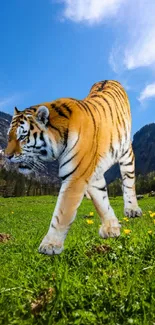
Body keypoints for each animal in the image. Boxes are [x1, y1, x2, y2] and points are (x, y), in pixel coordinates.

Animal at [5, 79, 142, 254]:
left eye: (22, 137)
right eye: (9, 136)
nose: (6, 156)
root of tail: (109, 79)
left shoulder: (76, 176)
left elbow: (62, 212)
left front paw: (50, 245)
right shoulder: (91, 174)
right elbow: (101, 200)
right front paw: (111, 228)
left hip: (125, 151)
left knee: (128, 180)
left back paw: (132, 210)